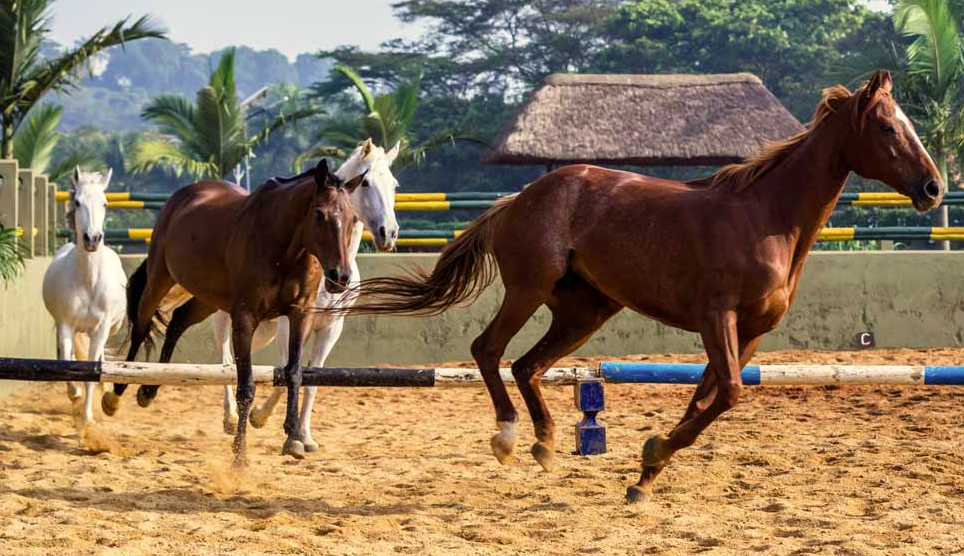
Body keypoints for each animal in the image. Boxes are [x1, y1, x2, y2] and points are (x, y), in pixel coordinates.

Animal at [100, 159, 366, 462]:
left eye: (353, 218)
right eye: (320, 214)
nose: (340, 277)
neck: (283, 247)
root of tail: (184, 195)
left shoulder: (300, 315)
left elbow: (294, 372)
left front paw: (293, 439)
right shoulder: (244, 319)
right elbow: (246, 385)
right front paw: (240, 451)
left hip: (205, 299)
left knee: (176, 324)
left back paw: (148, 391)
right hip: (160, 280)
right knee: (142, 328)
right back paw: (116, 393)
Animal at [217, 139, 402, 448]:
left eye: (394, 184)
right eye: (365, 183)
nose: (388, 233)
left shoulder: (330, 328)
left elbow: (311, 379)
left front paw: (303, 435)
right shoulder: (287, 324)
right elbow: (284, 372)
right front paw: (260, 418)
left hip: (263, 330)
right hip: (225, 316)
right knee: (224, 357)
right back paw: (230, 417)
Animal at [332, 71, 940, 502]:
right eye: (887, 127)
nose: (933, 188)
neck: (765, 219)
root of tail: (519, 198)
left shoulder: (751, 334)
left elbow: (707, 398)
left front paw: (646, 474)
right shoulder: (716, 319)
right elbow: (729, 393)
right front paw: (650, 458)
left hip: (585, 312)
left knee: (527, 365)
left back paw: (546, 445)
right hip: (529, 289)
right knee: (489, 350)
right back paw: (508, 437)